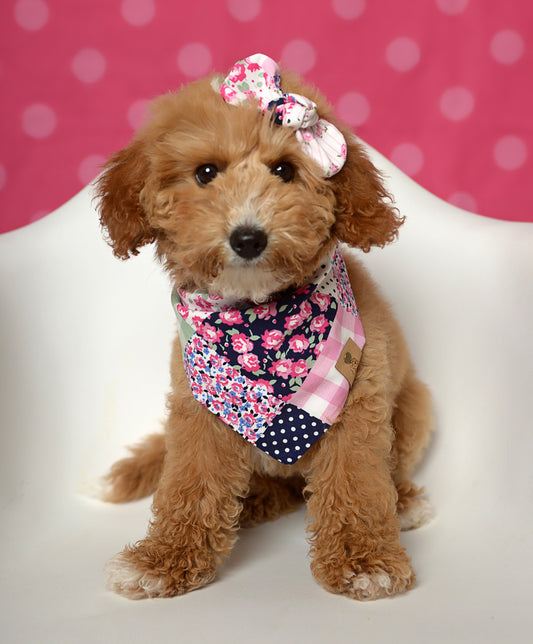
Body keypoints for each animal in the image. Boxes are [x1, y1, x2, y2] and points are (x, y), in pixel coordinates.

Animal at [95, 52, 432, 600]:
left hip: (416, 407)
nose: (248, 237)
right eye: (205, 173)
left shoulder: (357, 405)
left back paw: (401, 501)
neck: (259, 324)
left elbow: (358, 483)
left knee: (377, 472)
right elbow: (189, 484)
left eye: (285, 170)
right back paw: (249, 504)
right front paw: (162, 561)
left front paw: (363, 561)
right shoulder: (198, 411)